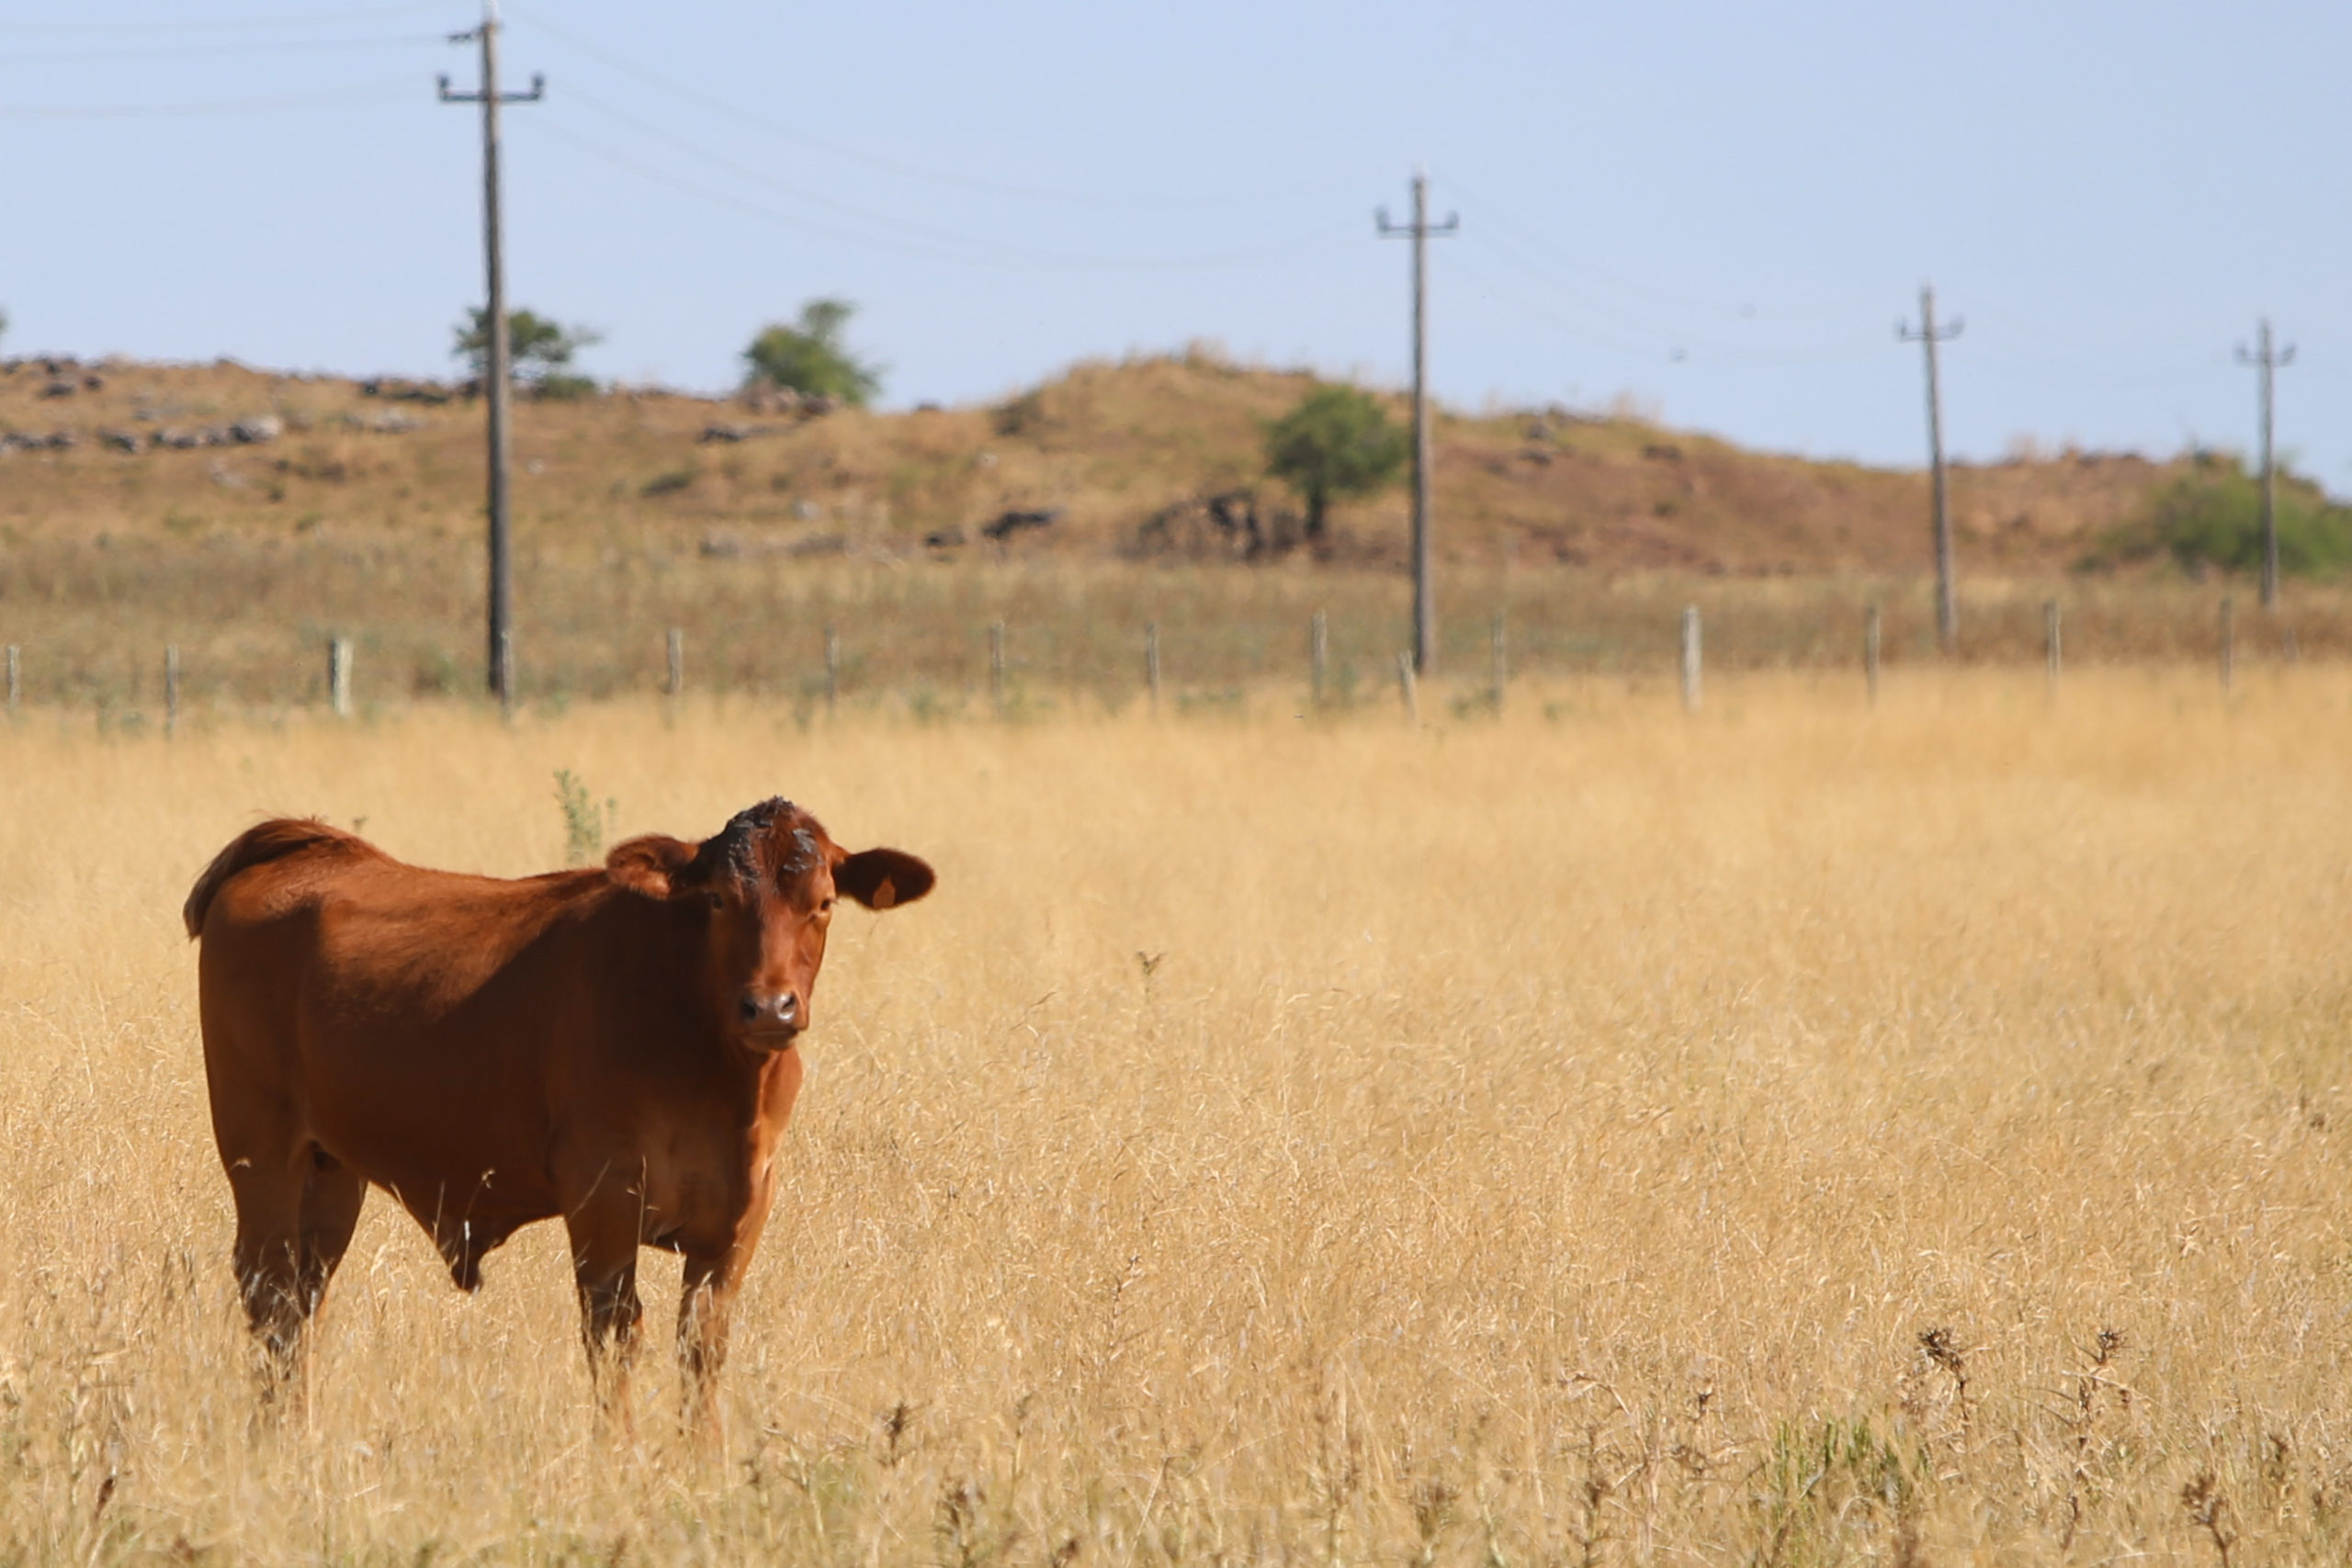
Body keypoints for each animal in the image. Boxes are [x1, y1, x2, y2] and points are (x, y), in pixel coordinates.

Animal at [178, 804, 931, 1419]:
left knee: (302, 1302)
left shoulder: (743, 1209)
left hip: (330, 1170)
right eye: (718, 899)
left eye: (824, 902)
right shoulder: (603, 1196)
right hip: (260, 1152)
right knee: (269, 1294)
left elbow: (702, 1344)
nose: (770, 1008)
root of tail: (311, 850)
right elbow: (615, 1336)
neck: (716, 1064)